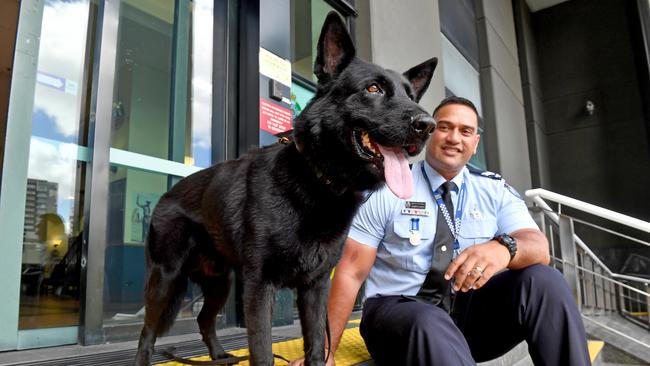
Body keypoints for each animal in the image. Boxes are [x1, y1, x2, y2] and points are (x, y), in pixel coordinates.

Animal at [135, 11, 436, 366]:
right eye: (373, 88)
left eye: (411, 97)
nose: (428, 126)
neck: (318, 181)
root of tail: (168, 195)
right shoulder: (259, 288)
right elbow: (263, 350)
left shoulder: (315, 288)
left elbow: (317, 343)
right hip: (166, 279)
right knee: (147, 332)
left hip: (221, 282)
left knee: (204, 319)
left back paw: (220, 355)